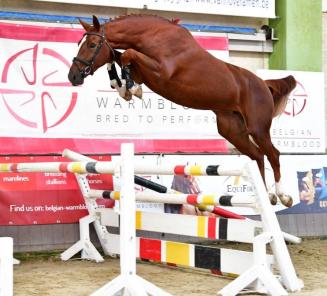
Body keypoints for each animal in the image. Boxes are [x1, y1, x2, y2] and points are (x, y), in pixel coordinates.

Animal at [68, 15, 298, 207]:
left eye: (92, 45)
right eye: (80, 44)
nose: (73, 76)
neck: (153, 36)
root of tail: (264, 84)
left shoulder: (160, 72)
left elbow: (127, 55)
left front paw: (131, 89)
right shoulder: (143, 70)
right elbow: (116, 56)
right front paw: (124, 87)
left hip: (258, 129)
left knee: (273, 154)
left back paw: (283, 196)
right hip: (233, 131)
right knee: (257, 156)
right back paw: (267, 195)